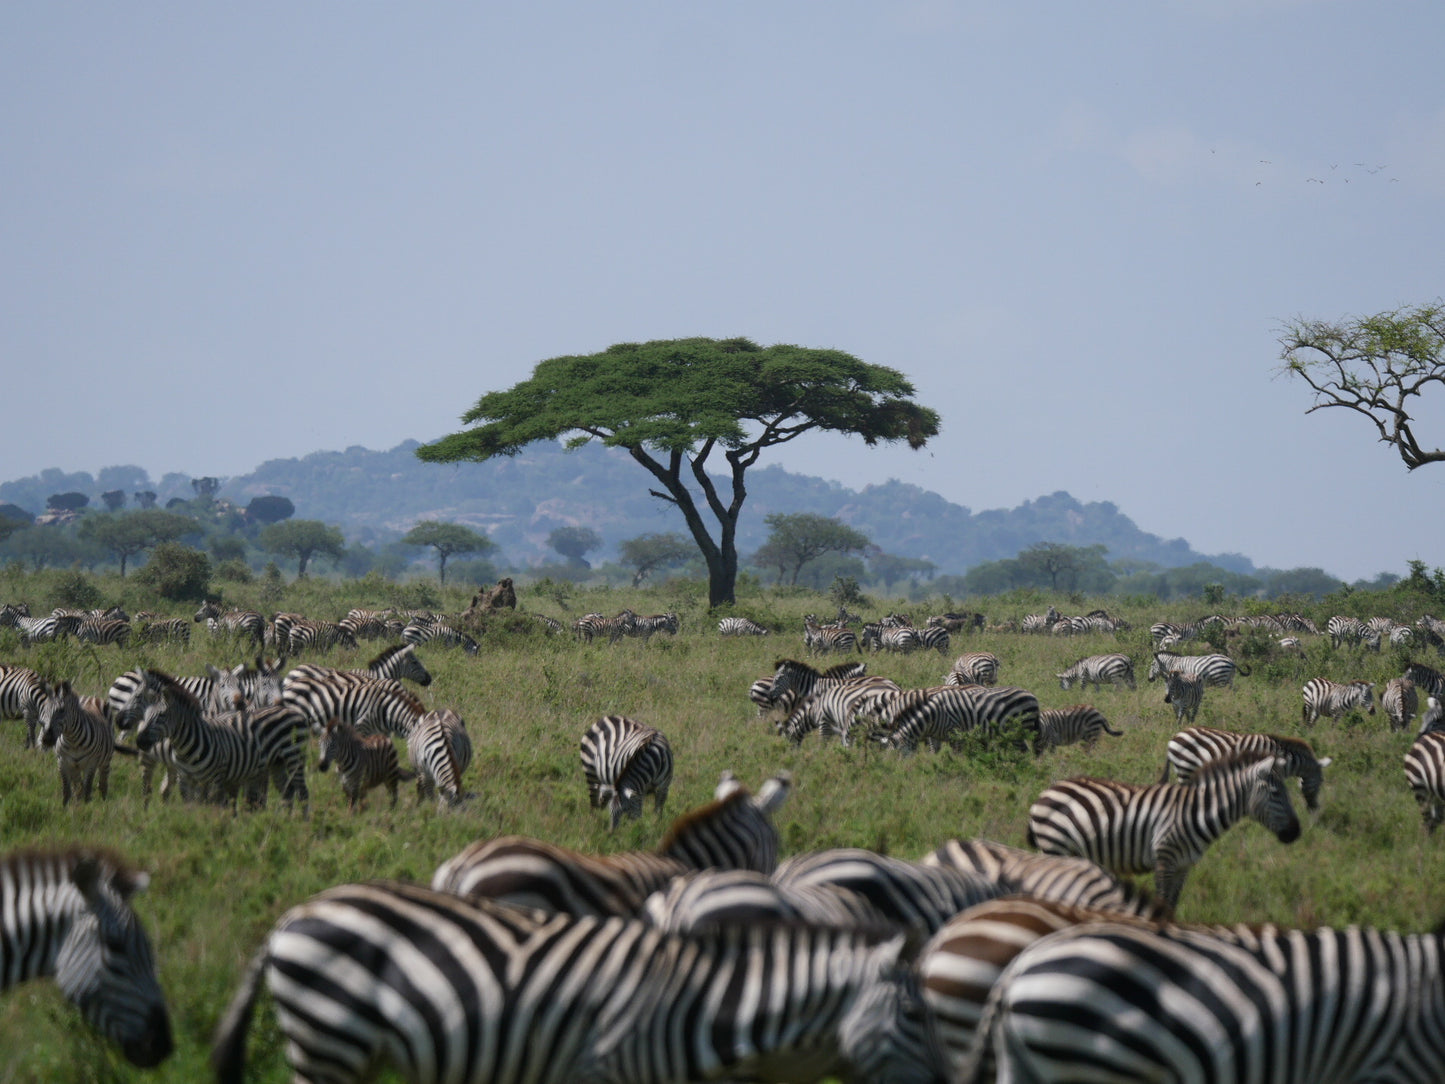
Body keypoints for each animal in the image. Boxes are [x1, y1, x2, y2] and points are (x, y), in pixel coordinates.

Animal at [1023, 757, 1306, 919]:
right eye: (1275, 792)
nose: (1296, 833)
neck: (1196, 812)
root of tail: (1044, 793)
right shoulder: (1164, 859)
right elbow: (1160, 901)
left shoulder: (1183, 866)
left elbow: (1172, 904)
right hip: (1055, 847)